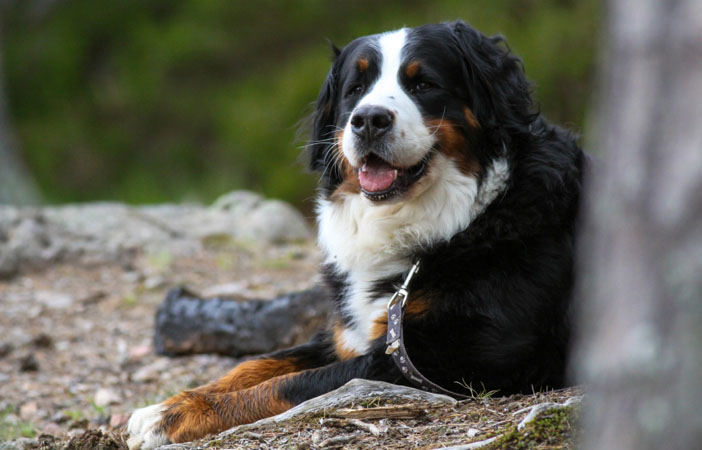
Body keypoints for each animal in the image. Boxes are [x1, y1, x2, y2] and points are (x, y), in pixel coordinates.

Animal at [128, 19, 588, 448]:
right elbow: (258, 365)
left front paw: (174, 417)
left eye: (423, 83)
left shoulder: (448, 359)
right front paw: (167, 405)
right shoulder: (351, 337)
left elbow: (293, 383)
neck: (451, 224)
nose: (368, 120)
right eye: (355, 88)